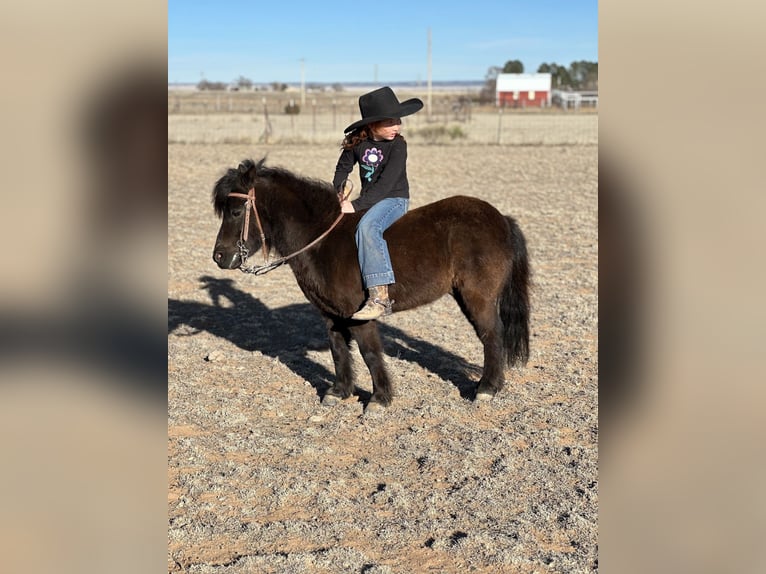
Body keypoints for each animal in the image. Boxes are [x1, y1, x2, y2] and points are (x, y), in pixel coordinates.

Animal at [212, 158, 530, 411]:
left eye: (236, 211)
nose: (219, 257)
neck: (322, 239)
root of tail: (501, 219)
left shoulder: (358, 316)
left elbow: (370, 353)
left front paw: (379, 399)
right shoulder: (332, 315)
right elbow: (339, 351)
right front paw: (340, 392)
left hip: (477, 297)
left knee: (492, 334)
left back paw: (487, 388)